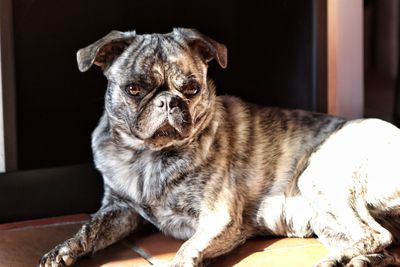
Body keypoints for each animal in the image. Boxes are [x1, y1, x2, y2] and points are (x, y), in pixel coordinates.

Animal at [40, 28, 400, 266]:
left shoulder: (217, 217)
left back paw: (336, 259)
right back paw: (358, 261)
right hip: (324, 217)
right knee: (386, 245)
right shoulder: (119, 209)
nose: (168, 101)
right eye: (134, 89)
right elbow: (88, 230)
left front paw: (182, 260)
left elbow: (187, 249)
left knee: (374, 235)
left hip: (317, 180)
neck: (147, 157)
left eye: (192, 89)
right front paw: (63, 250)